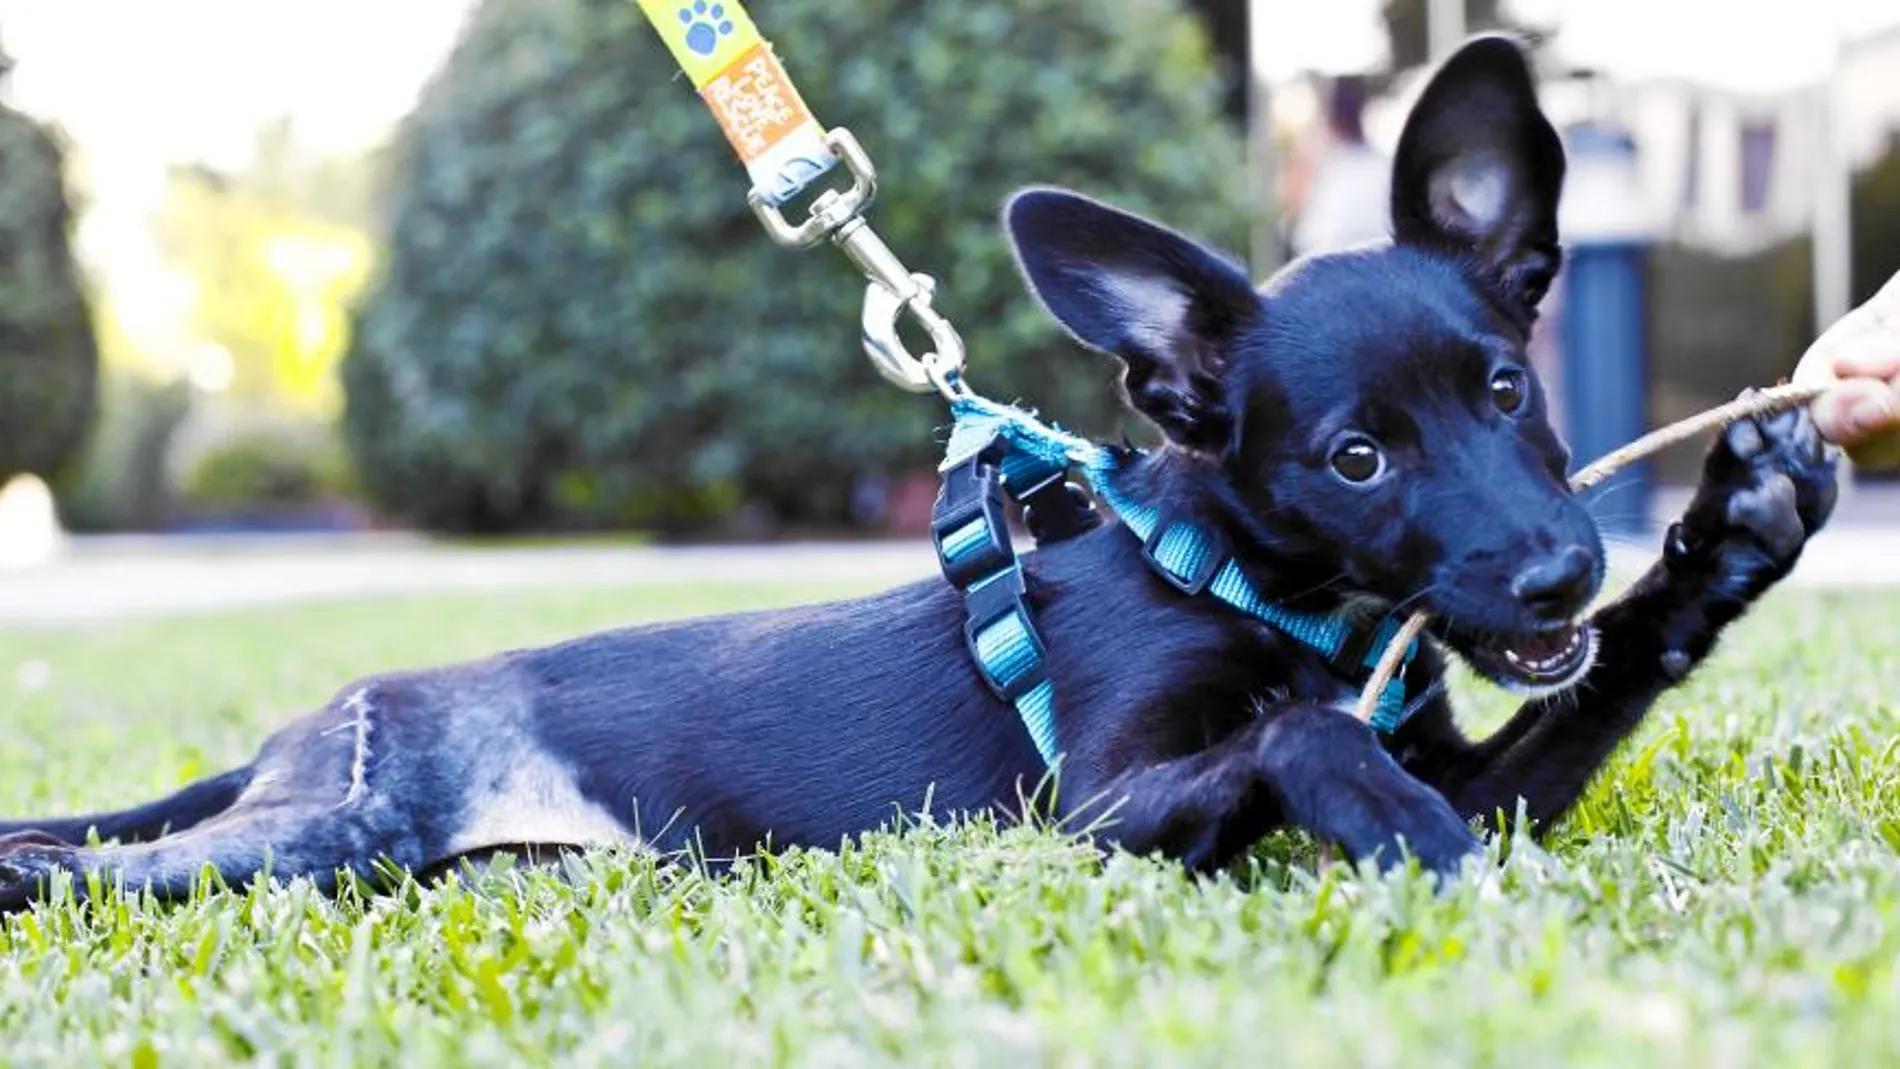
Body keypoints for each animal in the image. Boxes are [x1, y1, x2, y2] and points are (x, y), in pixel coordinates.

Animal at [0, 43, 1839, 911]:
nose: (1552, 574)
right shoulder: (1092, 807)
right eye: (1357, 454)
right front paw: (1387, 814)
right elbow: (1303, 739)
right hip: (335, 830)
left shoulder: (1500, 760)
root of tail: (314, 725)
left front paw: (1727, 536)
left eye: (1509, 385)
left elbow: (1572, 709)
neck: (1242, 583)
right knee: (122, 865)